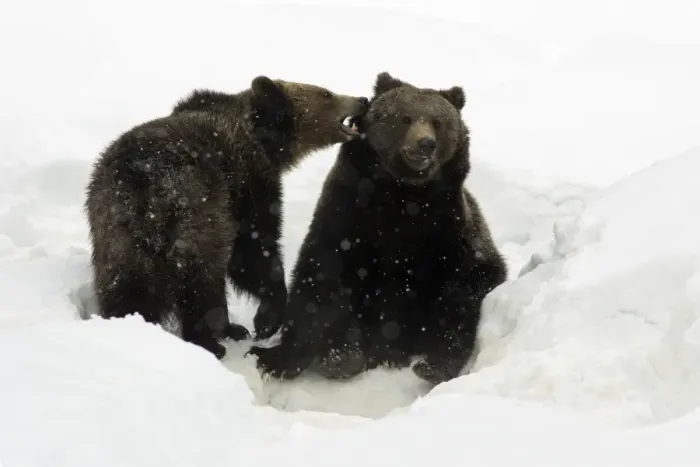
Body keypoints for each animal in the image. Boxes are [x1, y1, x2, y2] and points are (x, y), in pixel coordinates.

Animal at [85, 76, 369, 359]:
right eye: (326, 94)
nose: (362, 99)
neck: (267, 142)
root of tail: (145, 182)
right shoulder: (249, 186)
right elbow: (255, 249)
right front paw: (265, 320)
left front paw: (240, 327)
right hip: (196, 209)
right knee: (202, 278)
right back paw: (208, 342)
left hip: (114, 228)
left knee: (125, 285)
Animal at [247, 72, 507, 384]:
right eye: (405, 117)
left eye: (438, 121)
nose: (425, 144)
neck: (402, 194)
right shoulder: (348, 216)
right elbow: (322, 277)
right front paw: (302, 358)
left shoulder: (446, 231)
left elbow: (462, 288)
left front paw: (436, 362)